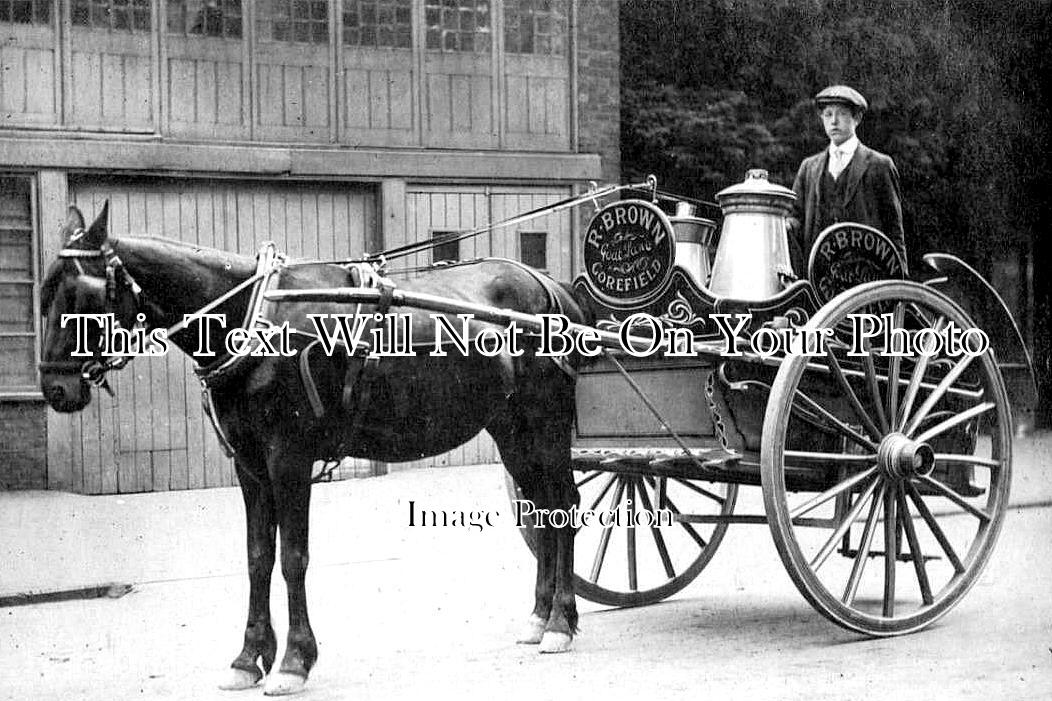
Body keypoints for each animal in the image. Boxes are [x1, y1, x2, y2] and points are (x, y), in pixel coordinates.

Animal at [37, 202, 589, 694]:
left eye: (81, 295)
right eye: (44, 294)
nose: (55, 390)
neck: (251, 317)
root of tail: (551, 288)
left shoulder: (289, 459)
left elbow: (292, 557)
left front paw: (294, 661)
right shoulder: (250, 466)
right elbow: (258, 556)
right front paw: (248, 657)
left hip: (545, 424)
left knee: (562, 507)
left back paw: (561, 622)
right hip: (511, 429)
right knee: (541, 510)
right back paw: (539, 617)